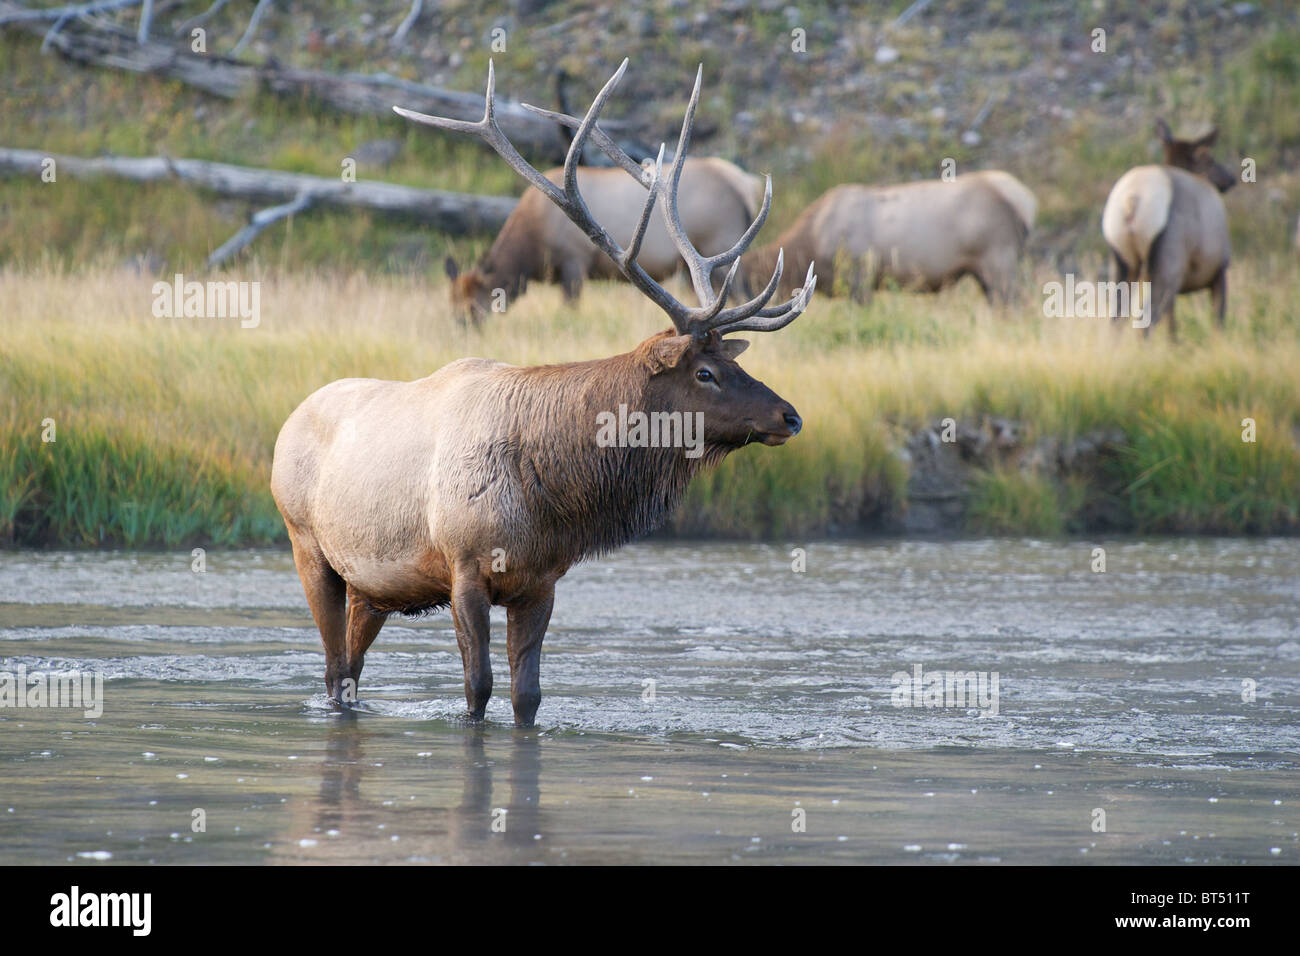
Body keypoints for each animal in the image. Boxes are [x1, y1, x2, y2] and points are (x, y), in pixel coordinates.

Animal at [270, 59, 816, 728]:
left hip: (372, 587)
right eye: (704, 374)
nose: (788, 416)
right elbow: (477, 690)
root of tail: (289, 422)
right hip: (307, 545)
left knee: (349, 670)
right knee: (331, 670)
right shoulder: (464, 567)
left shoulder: (542, 582)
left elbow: (527, 697)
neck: (550, 490)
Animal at [1102, 118, 1232, 338]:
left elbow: (1171, 325)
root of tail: (1132, 201)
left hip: (1122, 262)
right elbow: (1218, 320)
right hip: (1169, 264)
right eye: (1209, 159)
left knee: (1115, 321)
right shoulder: (1219, 268)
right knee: (1146, 320)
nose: (1231, 179)